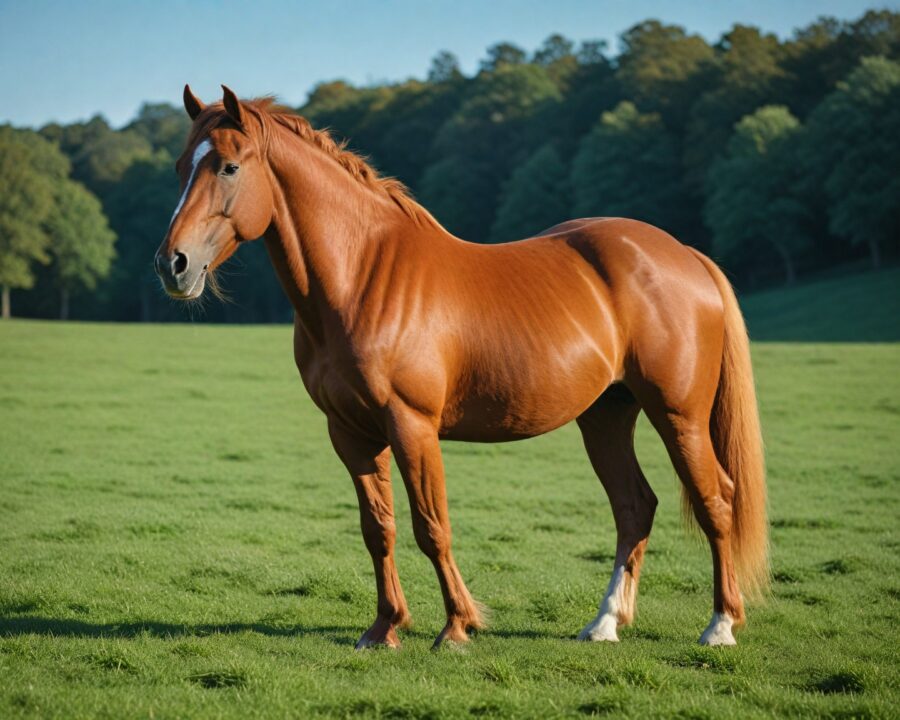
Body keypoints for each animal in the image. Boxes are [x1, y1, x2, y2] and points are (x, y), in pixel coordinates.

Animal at [154, 85, 768, 649]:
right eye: (182, 167)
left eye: (229, 165)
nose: (172, 264)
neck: (361, 276)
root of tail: (684, 255)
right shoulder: (350, 433)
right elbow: (378, 528)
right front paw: (384, 628)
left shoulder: (412, 425)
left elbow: (432, 527)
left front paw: (456, 627)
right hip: (607, 416)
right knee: (634, 506)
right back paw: (604, 624)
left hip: (679, 416)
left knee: (717, 500)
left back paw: (720, 625)